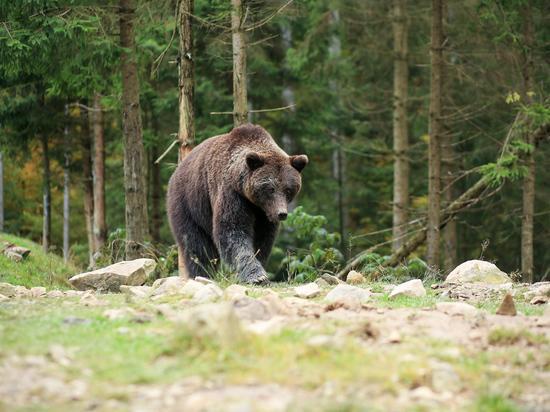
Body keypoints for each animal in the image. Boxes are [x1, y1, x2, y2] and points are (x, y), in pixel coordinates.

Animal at [166, 123, 308, 284]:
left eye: (288, 189)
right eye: (271, 189)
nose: (281, 213)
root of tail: (178, 169)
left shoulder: (264, 214)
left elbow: (262, 239)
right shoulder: (232, 194)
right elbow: (232, 230)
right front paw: (257, 276)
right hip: (189, 203)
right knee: (195, 244)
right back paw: (202, 273)